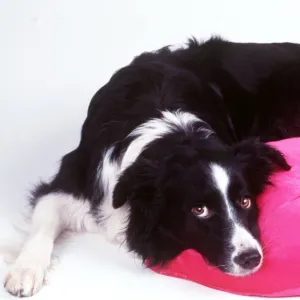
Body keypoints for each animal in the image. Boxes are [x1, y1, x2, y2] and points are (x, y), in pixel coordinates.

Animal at [5, 36, 300, 296]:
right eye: (199, 210)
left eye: (245, 201)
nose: (251, 258)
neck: (172, 136)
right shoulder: (74, 177)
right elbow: (44, 219)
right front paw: (24, 270)